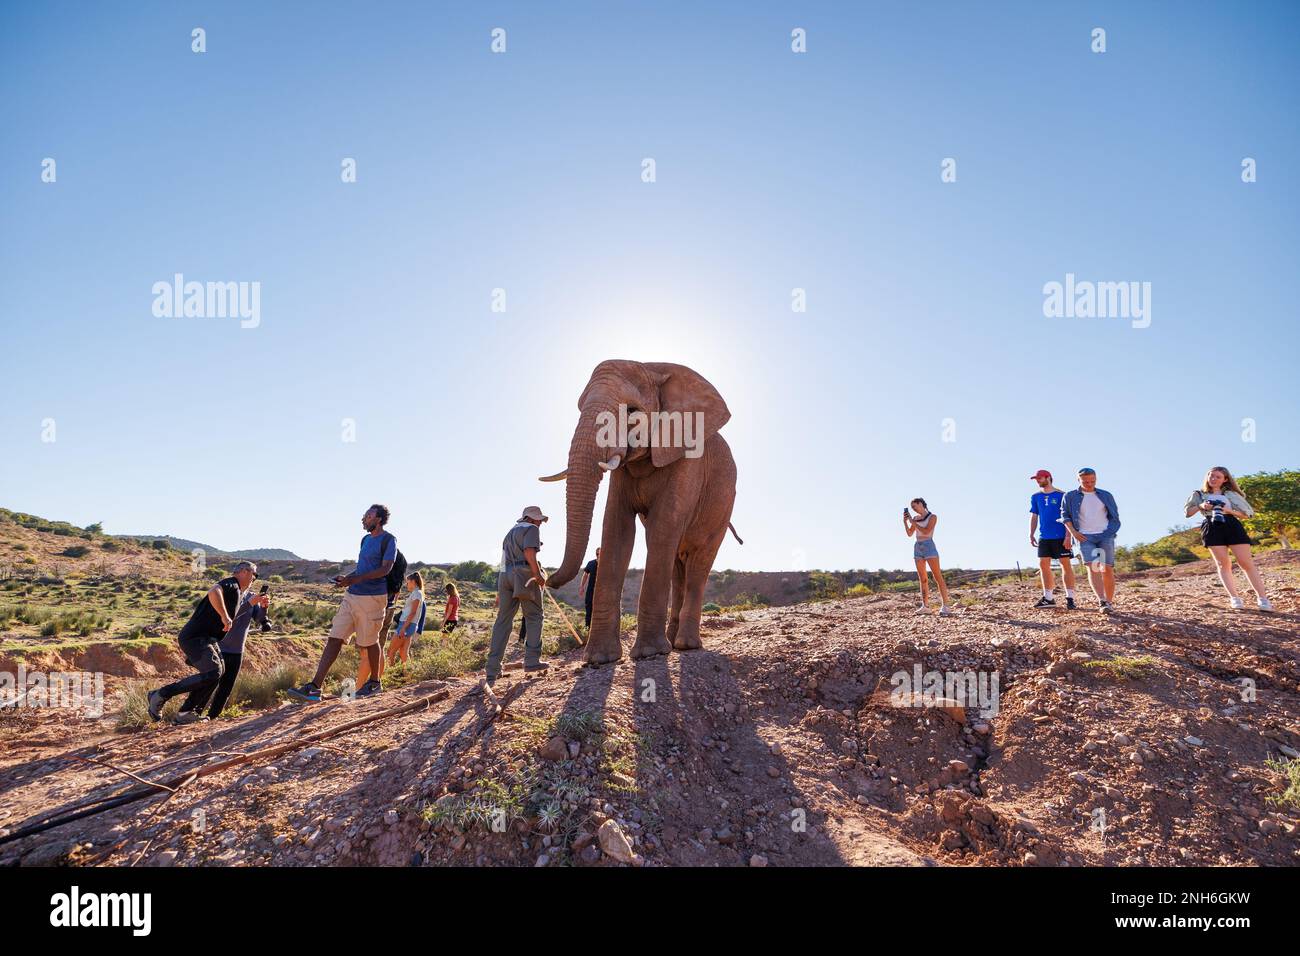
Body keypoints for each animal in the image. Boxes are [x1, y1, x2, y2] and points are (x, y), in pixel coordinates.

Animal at [538, 358, 743, 665]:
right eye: (579, 407)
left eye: (632, 411)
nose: (545, 577)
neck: (653, 367)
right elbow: (616, 528)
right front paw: (599, 659)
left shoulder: (688, 461)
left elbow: (662, 527)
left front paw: (649, 653)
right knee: (677, 566)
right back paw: (673, 640)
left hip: (723, 507)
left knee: (698, 563)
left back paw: (685, 645)